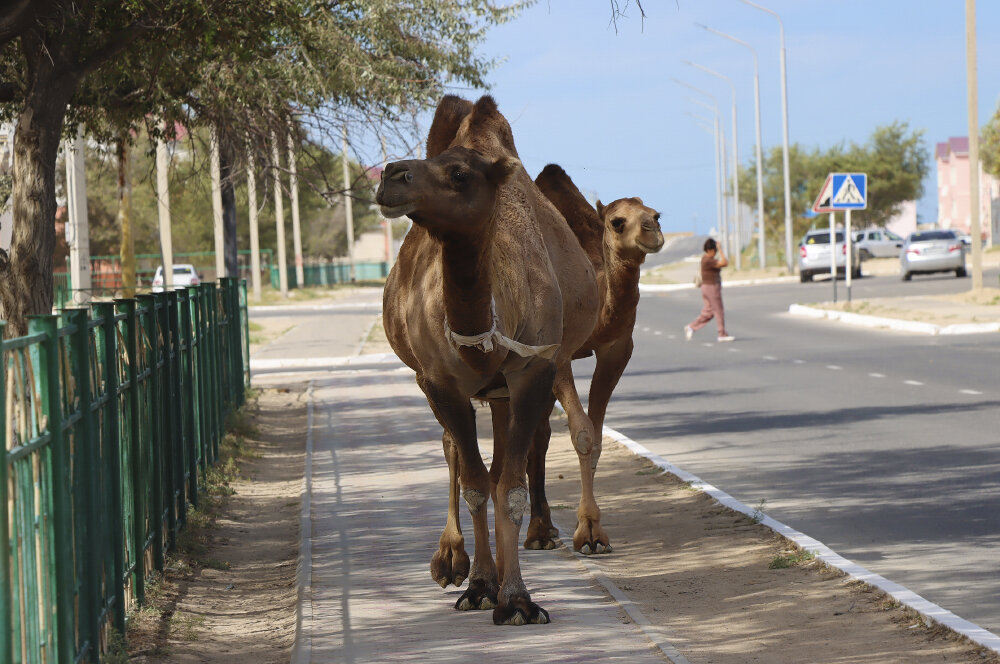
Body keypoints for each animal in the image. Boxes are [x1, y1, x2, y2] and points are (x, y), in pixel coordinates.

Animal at [378, 96, 596, 624]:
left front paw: (516, 598)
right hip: (448, 386)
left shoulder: (534, 372)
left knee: (499, 465)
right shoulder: (438, 382)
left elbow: (509, 487)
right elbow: (476, 483)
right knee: (455, 453)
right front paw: (479, 586)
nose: (390, 174)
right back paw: (454, 561)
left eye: (458, 173)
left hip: (504, 390)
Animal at [528, 163, 668, 552]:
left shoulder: (616, 349)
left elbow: (597, 437)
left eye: (656, 214)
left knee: (538, 433)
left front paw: (593, 531)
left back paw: (541, 530)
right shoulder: (556, 352)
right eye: (617, 222)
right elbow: (582, 434)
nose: (654, 231)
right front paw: (588, 532)